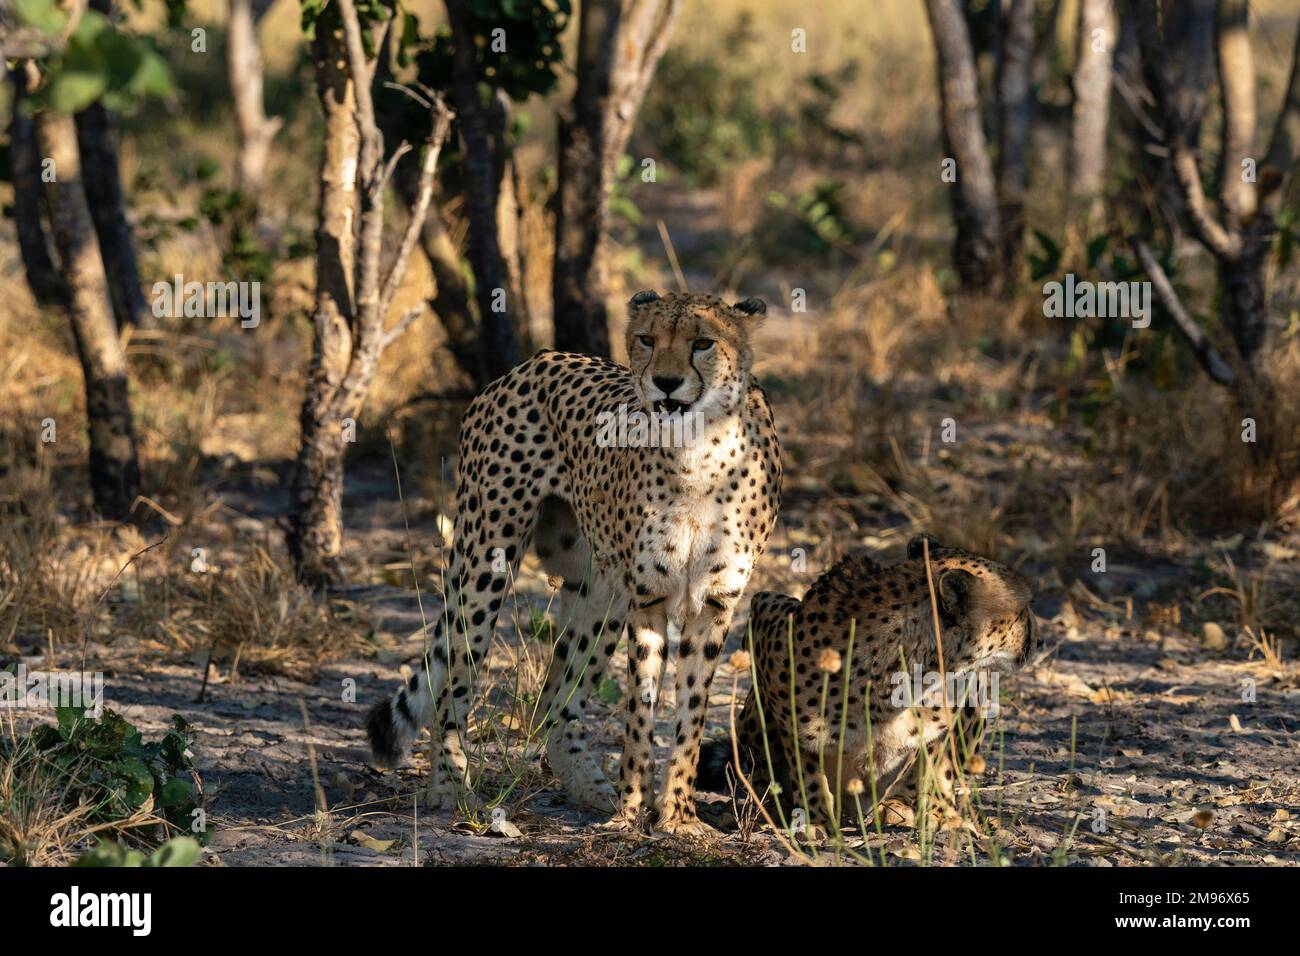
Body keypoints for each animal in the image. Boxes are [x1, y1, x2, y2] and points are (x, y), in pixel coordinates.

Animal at [364, 287, 780, 832]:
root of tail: (538, 359)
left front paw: (676, 815)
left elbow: (690, 711)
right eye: (647, 339)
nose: (665, 382)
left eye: (703, 343)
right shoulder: (648, 598)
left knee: (557, 703)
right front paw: (631, 813)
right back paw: (453, 786)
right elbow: (641, 710)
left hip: (600, 588)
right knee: (457, 679)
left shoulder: (714, 604)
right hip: (487, 555)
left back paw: (591, 788)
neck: (699, 451)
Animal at [702, 538, 1034, 837]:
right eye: (1023, 610)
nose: (1038, 639)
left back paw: (899, 806)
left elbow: (939, 764)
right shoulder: (766, 610)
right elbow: (802, 763)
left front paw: (944, 815)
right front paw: (814, 818)